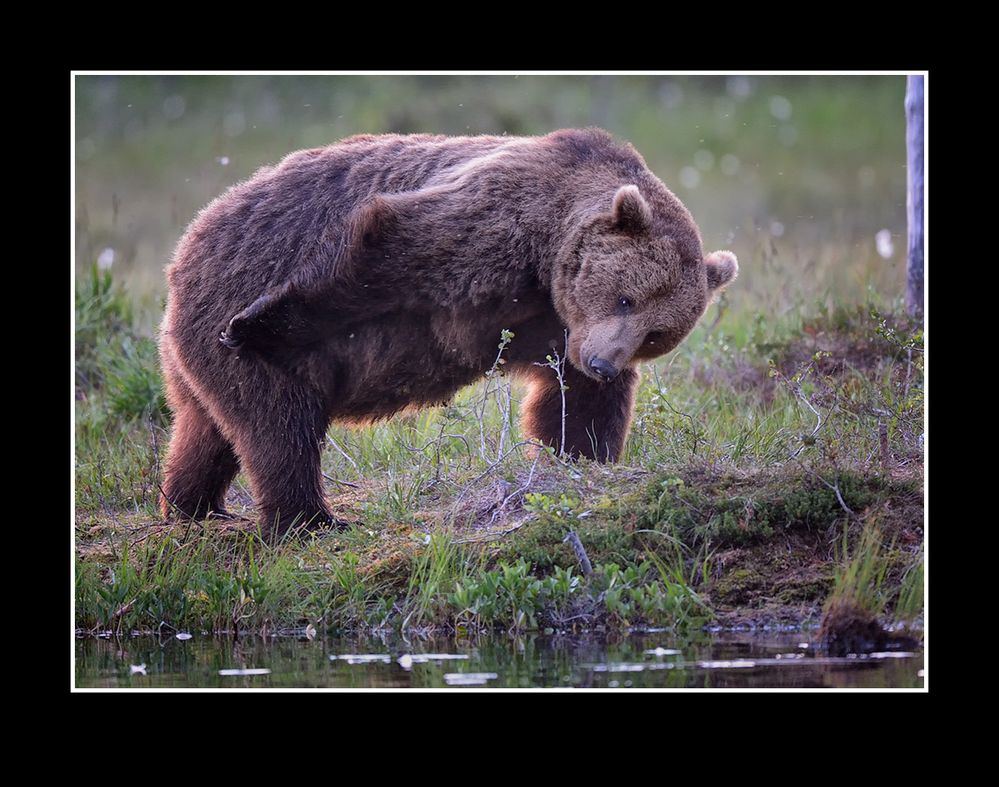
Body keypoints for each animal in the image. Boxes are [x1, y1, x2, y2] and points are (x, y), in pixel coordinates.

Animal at [160, 129, 740, 536]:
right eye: (626, 298)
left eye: (656, 333)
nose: (602, 364)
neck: (546, 264)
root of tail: (188, 241)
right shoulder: (497, 224)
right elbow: (385, 250)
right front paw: (259, 323)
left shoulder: (557, 326)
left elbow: (574, 404)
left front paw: (580, 459)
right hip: (228, 288)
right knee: (280, 424)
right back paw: (312, 519)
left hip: (192, 356)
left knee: (214, 427)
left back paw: (193, 504)